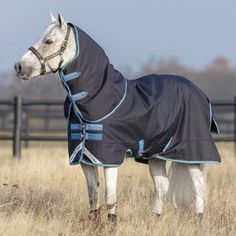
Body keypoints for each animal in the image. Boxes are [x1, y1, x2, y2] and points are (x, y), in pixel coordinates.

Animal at [15, 12, 208, 221]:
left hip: (191, 154)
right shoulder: (86, 158)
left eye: (49, 41)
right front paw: (94, 221)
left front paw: (111, 222)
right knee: (161, 186)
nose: (19, 67)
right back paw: (155, 219)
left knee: (198, 186)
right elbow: (93, 193)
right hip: (156, 154)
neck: (100, 98)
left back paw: (199, 220)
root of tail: (198, 92)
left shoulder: (109, 157)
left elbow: (110, 195)